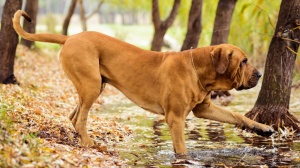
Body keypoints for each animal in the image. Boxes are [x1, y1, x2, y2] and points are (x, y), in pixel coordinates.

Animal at [12, 10, 274, 155]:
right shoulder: (176, 118)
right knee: (80, 119)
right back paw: (89, 143)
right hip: (91, 84)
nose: (260, 74)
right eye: (243, 61)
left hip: (93, 85)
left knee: (73, 115)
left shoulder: (204, 108)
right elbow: (181, 148)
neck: (199, 69)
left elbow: (237, 116)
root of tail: (70, 37)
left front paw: (262, 128)